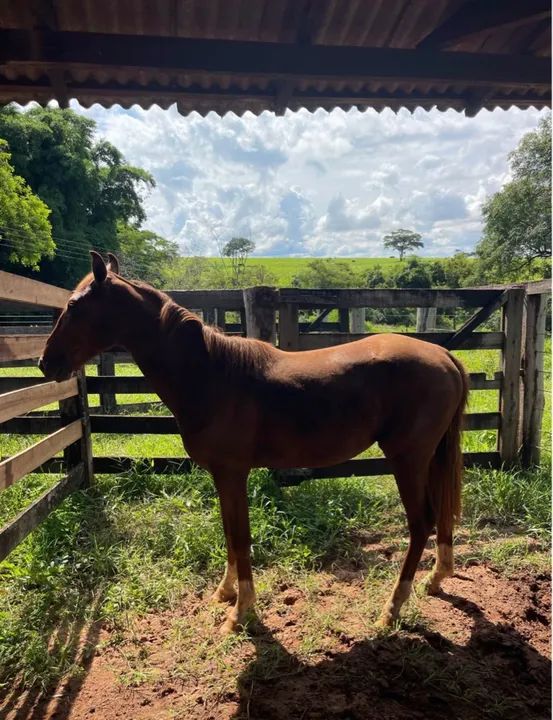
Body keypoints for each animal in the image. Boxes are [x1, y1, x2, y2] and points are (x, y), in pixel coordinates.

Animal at [39, 251, 468, 634]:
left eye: (74, 305)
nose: (46, 363)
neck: (213, 375)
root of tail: (443, 354)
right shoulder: (222, 476)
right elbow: (230, 533)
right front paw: (225, 593)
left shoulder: (233, 473)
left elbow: (242, 537)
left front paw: (241, 612)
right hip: (430, 457)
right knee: (442, 516)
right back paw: (436, 578)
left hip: (407, 459)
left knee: (421, 523)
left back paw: (391, 609)